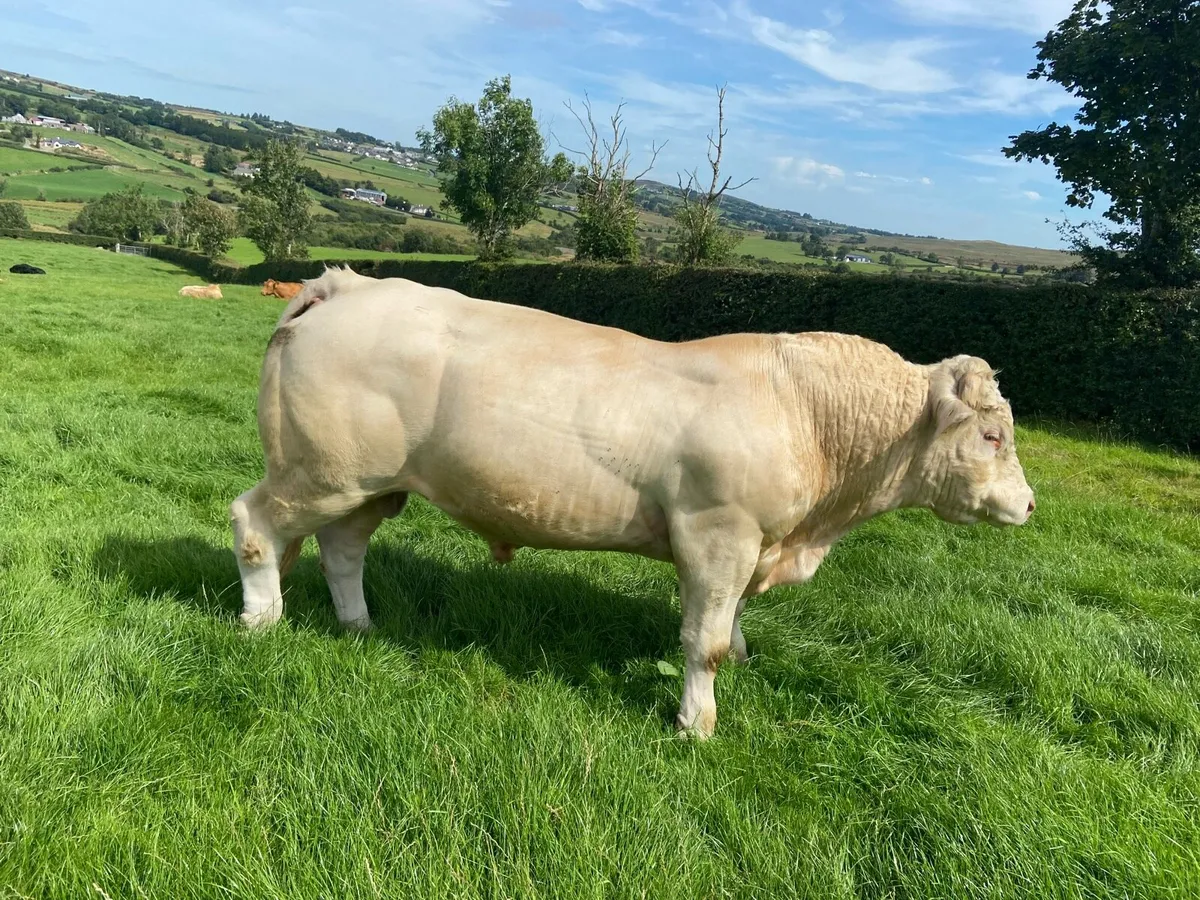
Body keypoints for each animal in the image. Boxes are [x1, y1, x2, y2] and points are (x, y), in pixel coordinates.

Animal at [230, 267, 1035, 739]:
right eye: (992, 434)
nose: (1029, 506)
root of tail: (346, 283)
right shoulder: (718, 534)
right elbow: (703, 641)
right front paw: (697, 723)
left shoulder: (747, 545)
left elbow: (732, 623)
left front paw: (742, 656)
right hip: (320, 472)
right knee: (255, 524)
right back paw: (261, 620)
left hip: (370, 484)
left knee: (343, 549)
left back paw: (358, 625)